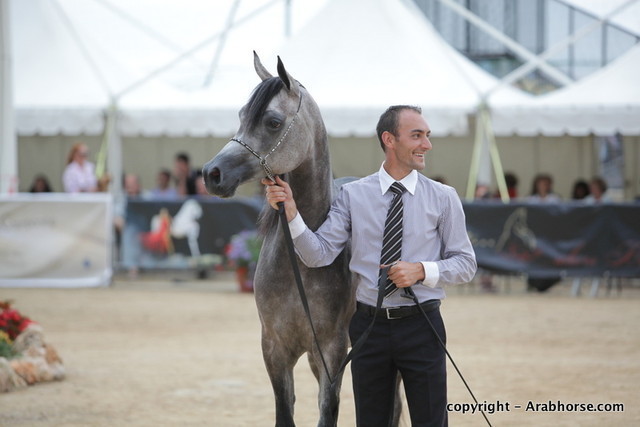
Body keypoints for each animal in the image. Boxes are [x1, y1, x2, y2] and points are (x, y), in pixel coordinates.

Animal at [202, 53, 354, 426]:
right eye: (241, 115)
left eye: (273, 122)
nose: (212, 174)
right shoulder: (274, 348)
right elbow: (285, 412)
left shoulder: (332, 350)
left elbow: (328, 410)